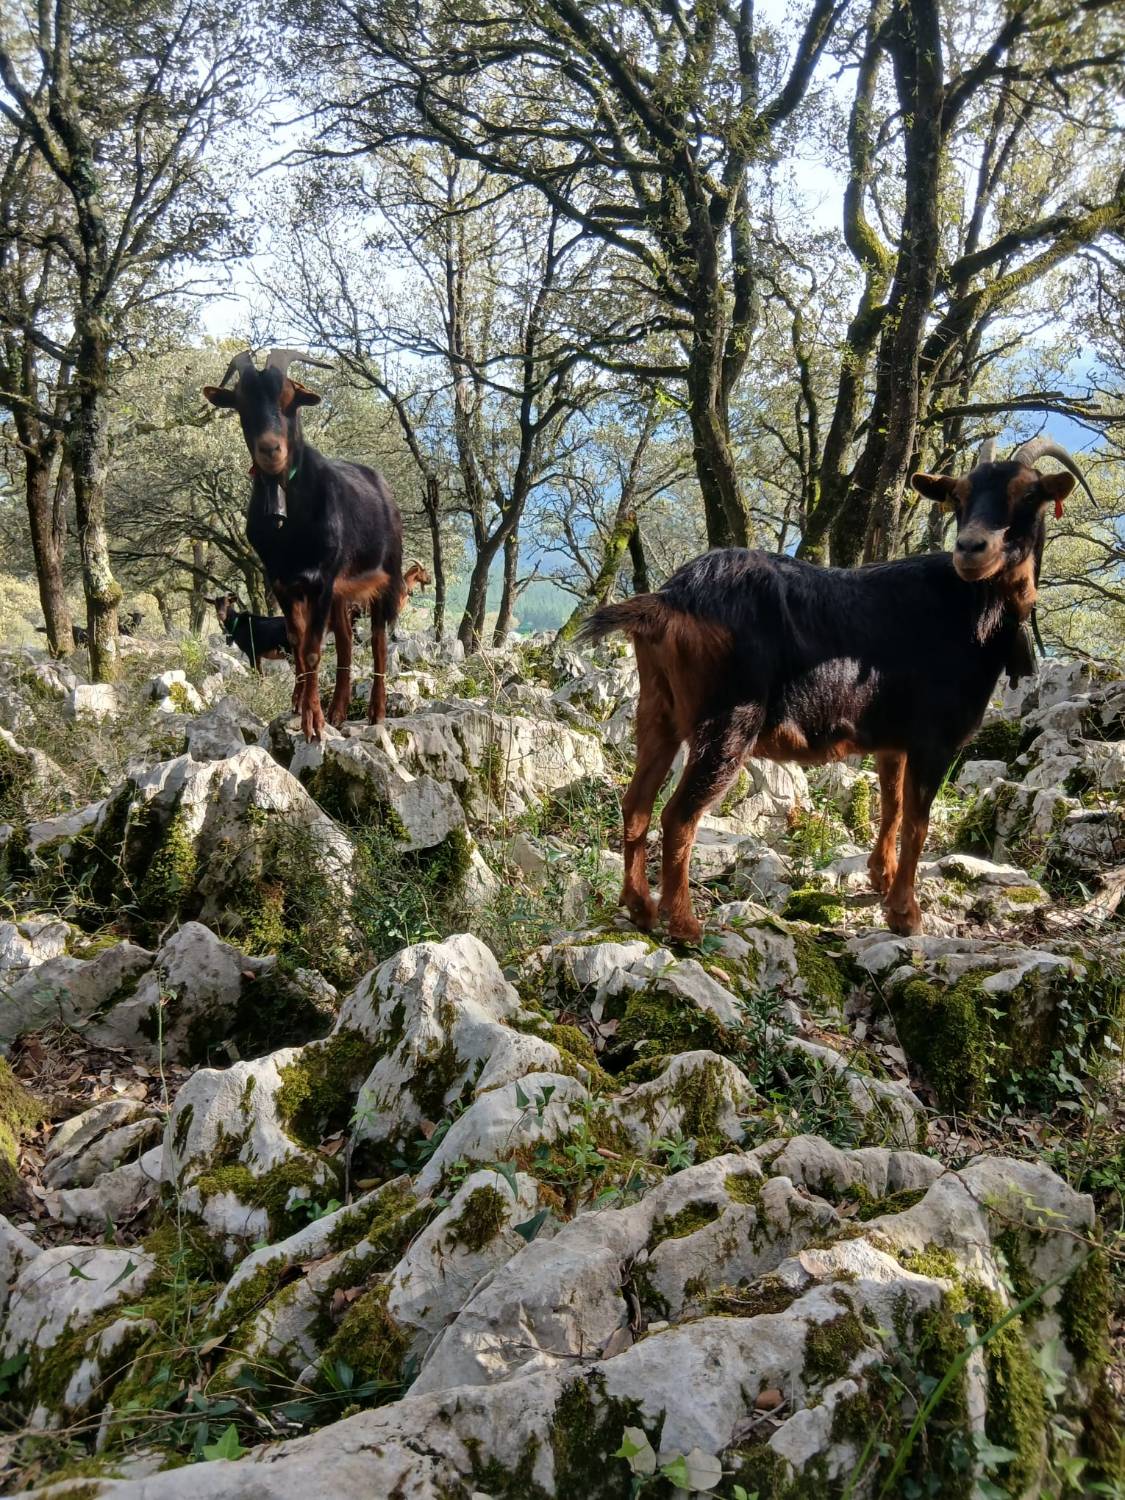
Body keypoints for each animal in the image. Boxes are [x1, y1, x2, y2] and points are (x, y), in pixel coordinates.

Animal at [203, 349, 403, 740]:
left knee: (377, 641)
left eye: (290, 400)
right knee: (345, 641)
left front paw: (313, 722)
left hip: (386, 577)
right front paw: (298, 706)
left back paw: (375, 713)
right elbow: (296, 643)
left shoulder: (320, 579)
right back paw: (339, 710)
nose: (270, 450)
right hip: (342, 592)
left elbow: (312, 649)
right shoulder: (281, 581)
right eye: (241, 403)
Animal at [580, 437, 1090, 941]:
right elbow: (918, 823)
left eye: (1028, 494)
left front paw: (882, 879)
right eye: (960, 497)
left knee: (636, 803)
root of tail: (669, 599)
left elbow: (892, 806)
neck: (972, 609)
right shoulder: (935, 739)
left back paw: (640, 908)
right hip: (727, 722)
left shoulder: (894, 740)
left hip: (657, 711)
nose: (970, 549)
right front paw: (906, 915)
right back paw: (685, 924)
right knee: (678, 815)